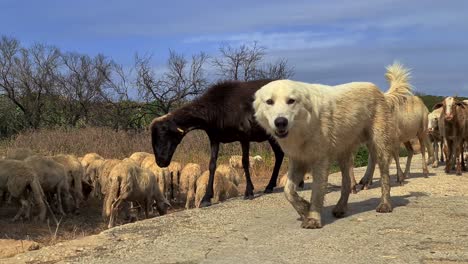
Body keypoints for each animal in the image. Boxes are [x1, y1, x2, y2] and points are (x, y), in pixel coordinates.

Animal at [254, 63, 408, 228]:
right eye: (269, 101)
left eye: (291, 101)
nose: (281, 122)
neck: (304, 125)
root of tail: (381, 93)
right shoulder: (298, 161)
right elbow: (288, 191)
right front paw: (304, 208)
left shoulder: (320, 162)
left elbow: (316, 192)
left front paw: (313, 218)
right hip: (344, 155)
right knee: (347, 182)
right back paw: (340, 208)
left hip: (380, 147)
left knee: (384, 177)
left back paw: (385, 205)